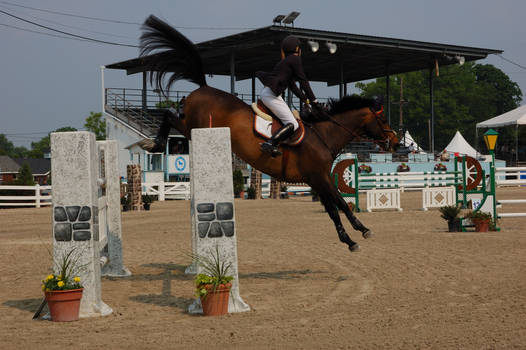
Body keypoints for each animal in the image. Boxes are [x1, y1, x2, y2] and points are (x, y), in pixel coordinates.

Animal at [138, 15, 398, 252]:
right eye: (383, 119)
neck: (324, 134)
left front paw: (358, 233)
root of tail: (203, 87)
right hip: (194, 127)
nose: (394, 141)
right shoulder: (319, 178)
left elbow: (339, 206)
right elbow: (338, 207)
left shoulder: (318, 179)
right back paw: (154, 143)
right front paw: (354, 237)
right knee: (169, 114)